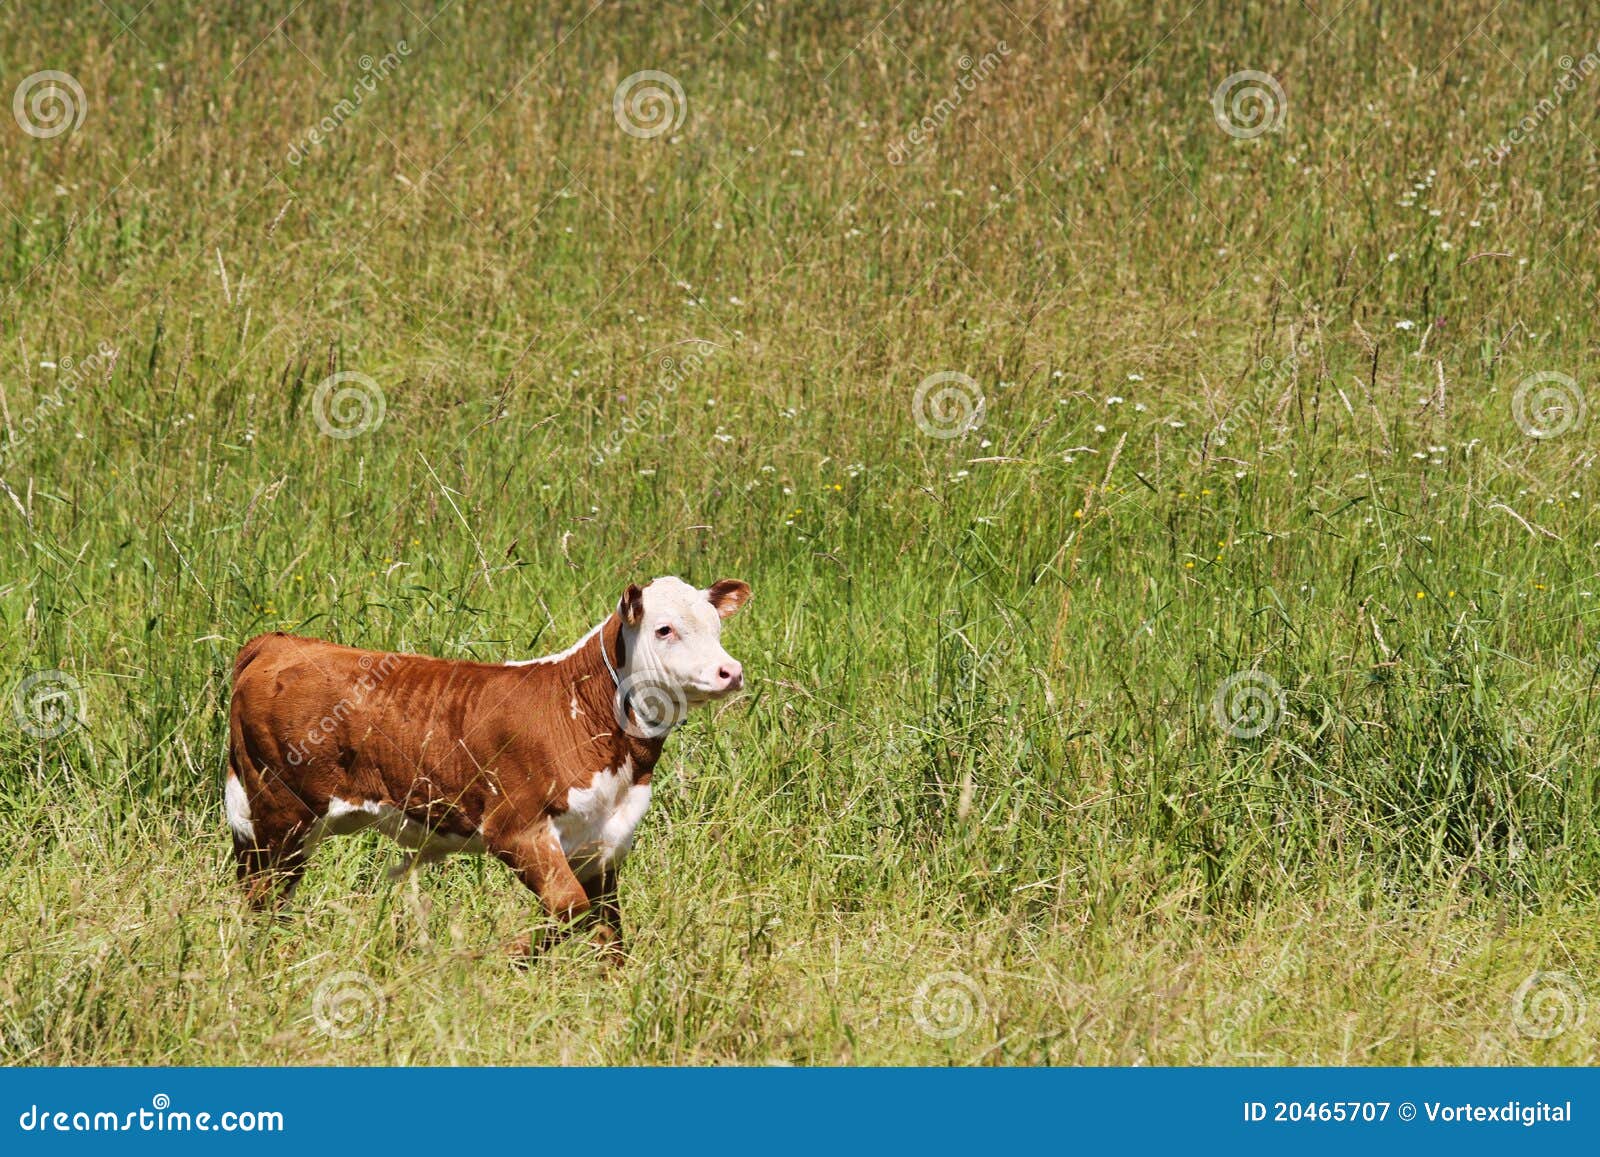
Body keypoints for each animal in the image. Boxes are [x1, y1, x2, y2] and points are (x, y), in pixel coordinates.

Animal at [224, 575, 750, 961]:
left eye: (717, 627)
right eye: (664, 629)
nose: (731, 671)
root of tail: (279, 642)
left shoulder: (603, 841)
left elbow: (608, 932)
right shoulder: (517, 829)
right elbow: (572, 910)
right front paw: (496, 958)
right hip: (280, 813)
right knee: (263, 898)